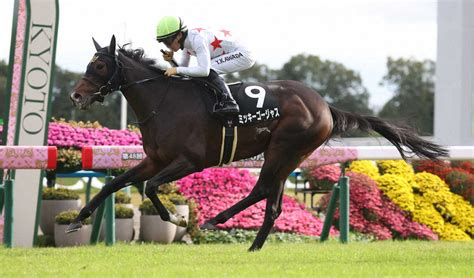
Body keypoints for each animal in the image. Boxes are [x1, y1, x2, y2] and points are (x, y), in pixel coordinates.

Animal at [67, 35, 448, 251]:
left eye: (99, 65)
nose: (76, 95)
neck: (164, 100)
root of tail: (325, 105)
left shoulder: (191, 161)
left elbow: (149, 187)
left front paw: (177, 220)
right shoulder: (155, 159)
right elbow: (115, 183)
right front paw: (77, 220)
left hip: (284, 148)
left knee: (263, 191)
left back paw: (215, 222)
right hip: (288, 156)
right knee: (272, 201)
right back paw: (252, 245)